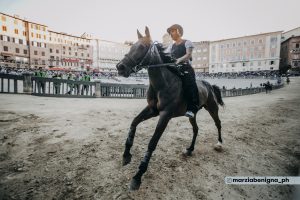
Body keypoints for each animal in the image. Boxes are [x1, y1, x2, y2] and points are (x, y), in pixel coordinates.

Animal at [116, 27, 224, 191]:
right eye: (131, 46)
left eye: (142, 47)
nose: (120, 67)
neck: (163, 84)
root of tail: (209, 84)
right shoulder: (152, 110)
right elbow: (134, 123)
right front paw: (126, 155)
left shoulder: (165, 115)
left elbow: (152, 142)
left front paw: (138, 176)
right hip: (192, 114)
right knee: (196, 129)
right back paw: (189, 150)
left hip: (212, 108)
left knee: (218, 124)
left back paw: (219, 144)